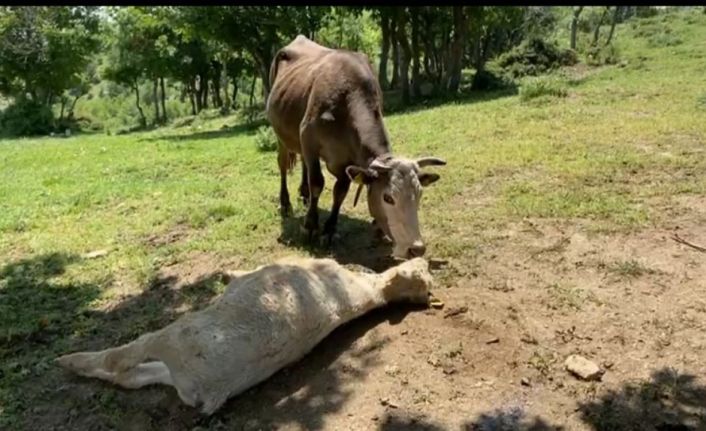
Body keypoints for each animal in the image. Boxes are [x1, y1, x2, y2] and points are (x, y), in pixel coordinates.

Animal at [57, 256, 434, 416]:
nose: (425, 258)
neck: (371, 291)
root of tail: (208, 387)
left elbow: (243, 272)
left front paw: (227, 273)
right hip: (178, 372)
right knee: (133, 377)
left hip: (173, 335)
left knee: (121, 359)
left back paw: (69, 360)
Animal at [266, 35, 442, 258]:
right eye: (388, 198)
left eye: (419, 194)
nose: (416, 248)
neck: (348, 100)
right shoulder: (309, 137)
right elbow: (318, 183)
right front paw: (310, 226)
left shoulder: (346, 160)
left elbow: (340, 191)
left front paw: (329, 229)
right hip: (281, 135)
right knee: (282, 165)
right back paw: (286, 203)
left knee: (304, 164)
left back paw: (304, 194)